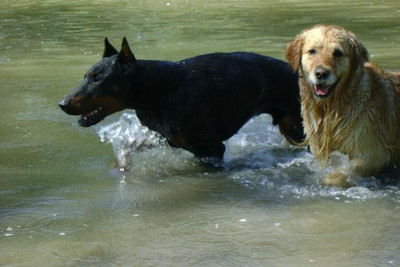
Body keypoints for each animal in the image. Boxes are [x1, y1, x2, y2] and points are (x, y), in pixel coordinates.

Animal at [59, 37, 304, 159]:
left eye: (98, 79)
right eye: (85, 76)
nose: (62, 103)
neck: (155, 92)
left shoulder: (211, 149)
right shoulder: (170, 140)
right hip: (290, 128)